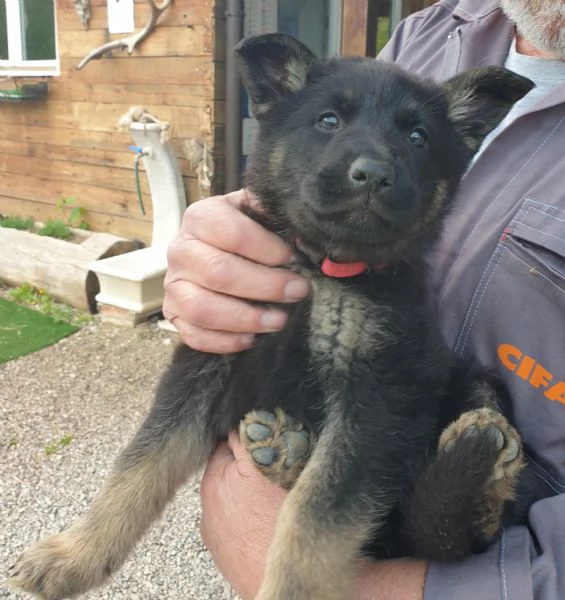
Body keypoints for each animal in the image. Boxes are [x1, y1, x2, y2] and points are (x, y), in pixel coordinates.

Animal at [11, 34, 536, 600]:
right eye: (328, 121)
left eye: (418, 138)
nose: (373, 175)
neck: (321, 267)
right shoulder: (209, 359)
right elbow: (139, 464)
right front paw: (73, 556)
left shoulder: (378, 399)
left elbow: (313, 520)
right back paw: (287, 455)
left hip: (471, 379)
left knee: (451, 534)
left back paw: (477, 462)